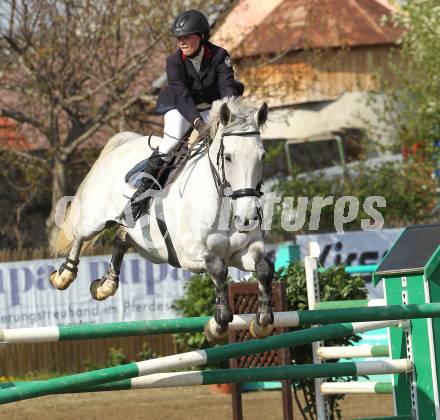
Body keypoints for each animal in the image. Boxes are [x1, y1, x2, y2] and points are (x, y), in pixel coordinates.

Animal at [49, 98, 274, 342]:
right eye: (228, 157)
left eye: (262, 156)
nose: (247, 217)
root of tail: (123, 145)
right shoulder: (189, 255)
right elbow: (218, 269)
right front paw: (218, 325)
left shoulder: (241, 252)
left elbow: (264, 268)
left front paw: (262, 322)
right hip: (94, 218)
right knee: (79, 236)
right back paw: (64, 276)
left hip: (151, 249)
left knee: (122, 237)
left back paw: (106, 285)